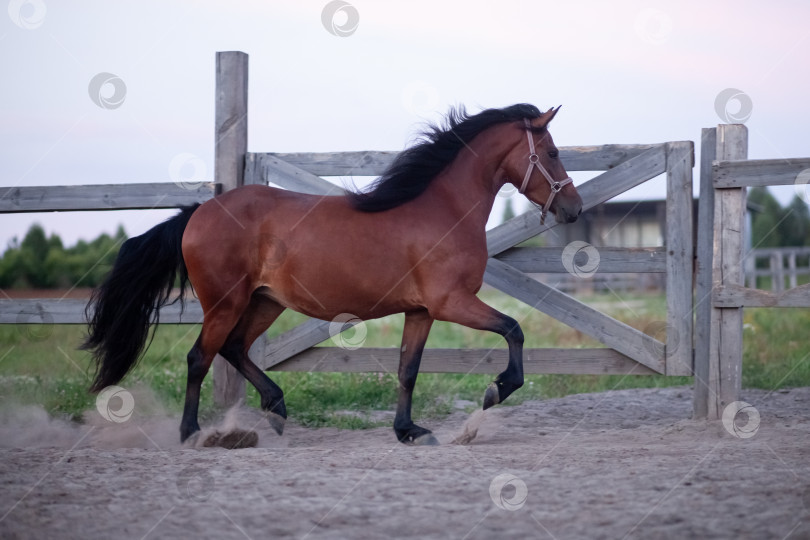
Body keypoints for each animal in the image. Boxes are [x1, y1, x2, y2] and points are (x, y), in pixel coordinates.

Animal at [82, 103, 580, 446]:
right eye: (553, 152)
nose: (573, 208)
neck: (444, 210)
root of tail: (199, 212)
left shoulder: (421, 312)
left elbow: (408, 370)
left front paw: (409, 431)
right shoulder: (450, 302)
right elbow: (514, 330)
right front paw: (497, 390)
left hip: (264, 302)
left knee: (234, 348)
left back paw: (276, 409)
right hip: (226, 302)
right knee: (199, 359)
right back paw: (194, 434)